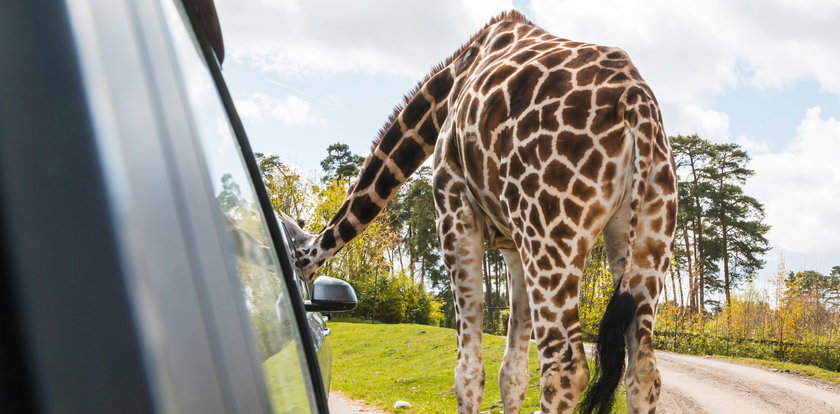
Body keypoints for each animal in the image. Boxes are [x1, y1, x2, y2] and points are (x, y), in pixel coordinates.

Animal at [282, 10, 676, 414]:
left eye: (298, 261)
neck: (447, 88)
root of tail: (637, 106)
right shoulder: (513, 247)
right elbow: (512, 374)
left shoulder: (454, 211)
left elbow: (468, 370)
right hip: (649, 229)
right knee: (643, 369)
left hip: (553, 231)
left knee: (565, 366)